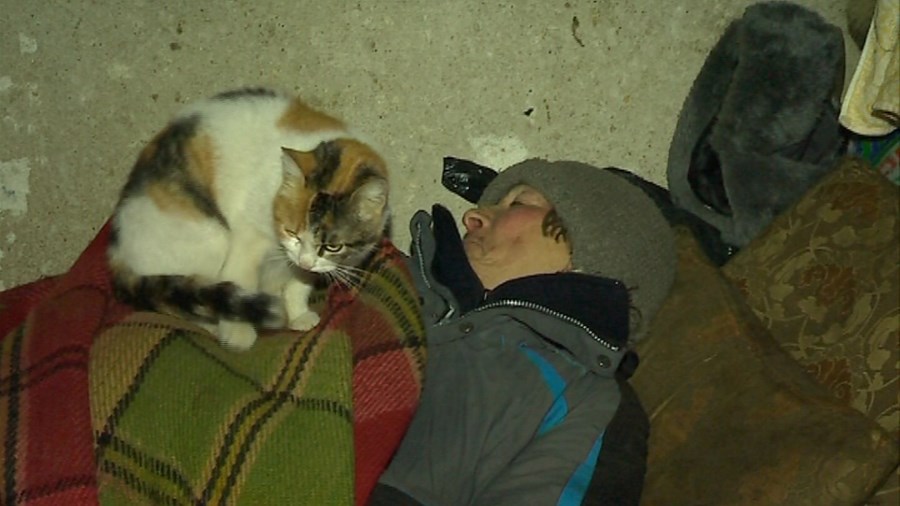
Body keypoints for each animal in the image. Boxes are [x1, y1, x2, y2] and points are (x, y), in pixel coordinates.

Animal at [107, 87, 390, 350]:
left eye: (333, 246)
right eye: (292, 233)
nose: (304, 260)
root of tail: (118, 255)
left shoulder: (309, 264)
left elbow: (300, 283)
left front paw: (298, 315)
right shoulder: (248, 239)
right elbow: (240, 277)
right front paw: (238, 334)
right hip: (209, 239)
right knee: (187, 300)